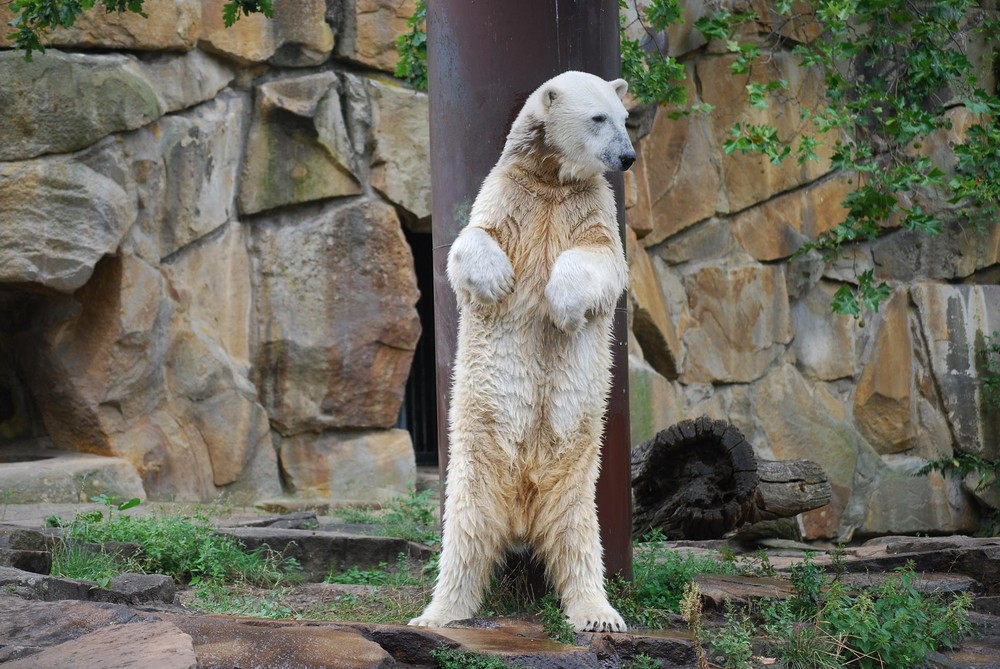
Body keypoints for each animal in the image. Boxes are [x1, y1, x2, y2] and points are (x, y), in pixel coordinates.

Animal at [408, 72, 632, 632]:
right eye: (599, 117)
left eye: (626, 118)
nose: (627, 156)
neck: (552, 180)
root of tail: (523, 515)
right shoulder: (510, 194)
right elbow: (471, 238)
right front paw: (499, 282)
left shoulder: (590, 208)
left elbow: (602, 260)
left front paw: (563, 306)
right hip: (474, 462)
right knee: (464, 537)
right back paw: (438, 612)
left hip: (577, 475)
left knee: (579, 540)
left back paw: (600, 613)